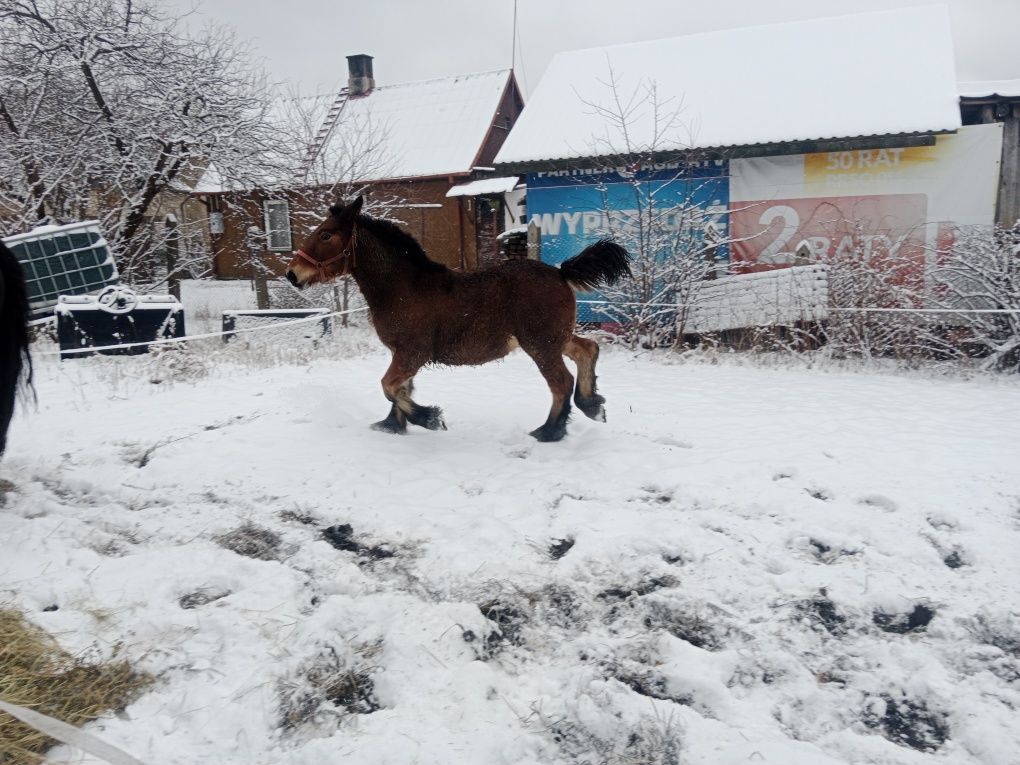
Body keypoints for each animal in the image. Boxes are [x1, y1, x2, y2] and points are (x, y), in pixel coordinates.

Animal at [283, 195, 624, 442]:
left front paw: (430, 418)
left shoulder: (412, 353)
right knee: (587, 349)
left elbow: (390, 386)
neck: (403, 288)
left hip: (541, 344)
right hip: (555, 339)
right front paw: (392, 426)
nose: (291, 274)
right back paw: (592, 405)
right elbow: (401, 388)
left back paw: (549, 431)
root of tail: (561, 272)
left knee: (561, 382)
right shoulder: (402, 354)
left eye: (325, 234)